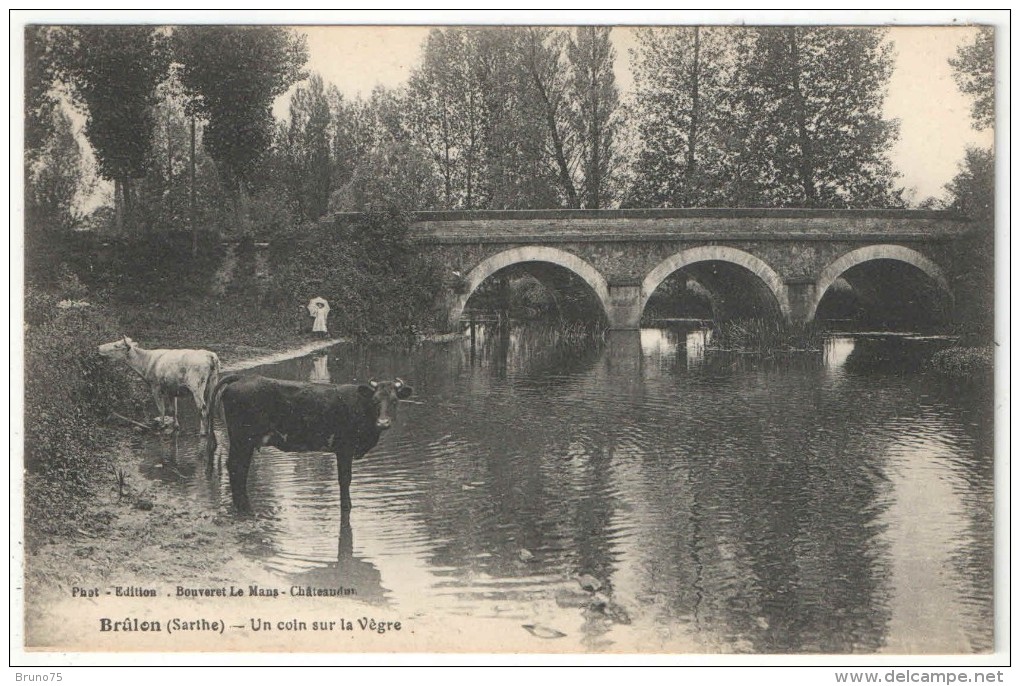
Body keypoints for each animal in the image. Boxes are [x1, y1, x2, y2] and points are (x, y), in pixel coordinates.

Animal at [209, 371, 412, 511]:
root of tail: (242, 377)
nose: (383, 422)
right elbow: (345, 479)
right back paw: (245, 507)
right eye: (375, 400)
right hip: (242, 438)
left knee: (238, 468)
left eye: (394, 401)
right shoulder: (344, 448)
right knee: (237, 466)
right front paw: (346, 507)